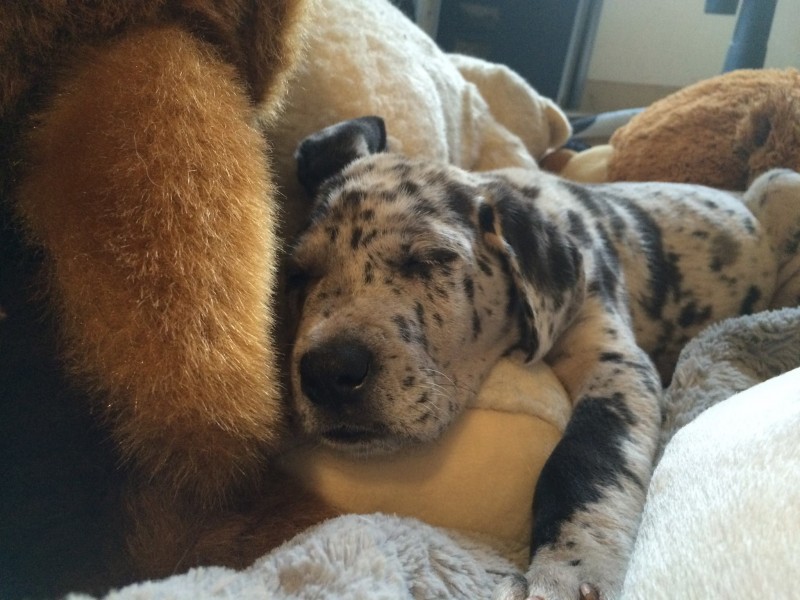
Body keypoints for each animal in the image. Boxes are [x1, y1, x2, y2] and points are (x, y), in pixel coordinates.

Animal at [285, 116, 799, 599]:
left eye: (430, 259)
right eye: (299, 274)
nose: (327, 372)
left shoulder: (615, 363)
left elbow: (585, 457)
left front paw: (567, 571)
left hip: (781, 183)